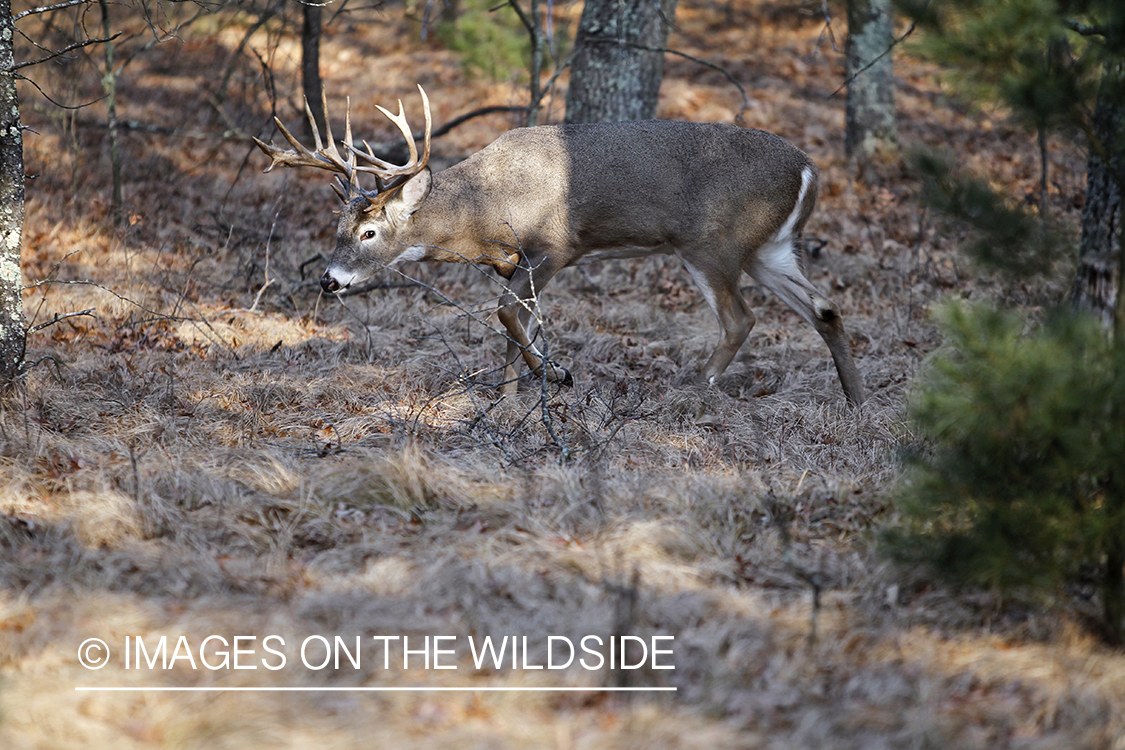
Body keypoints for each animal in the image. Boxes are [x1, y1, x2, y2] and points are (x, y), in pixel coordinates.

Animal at [255, 88, 864, 407]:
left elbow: (507, 313)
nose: (329, 279)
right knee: (826, 308)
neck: (484, 211)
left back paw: (690, 389)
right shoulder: (514, 261)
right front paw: (506, 398)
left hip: (712, 244)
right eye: (337, 227)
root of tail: (810, 170)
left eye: (370, 233)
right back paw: (856, 402)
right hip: (770, 249)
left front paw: (558, 375)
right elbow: (513, 321)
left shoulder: (556, 245)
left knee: (741, 318)